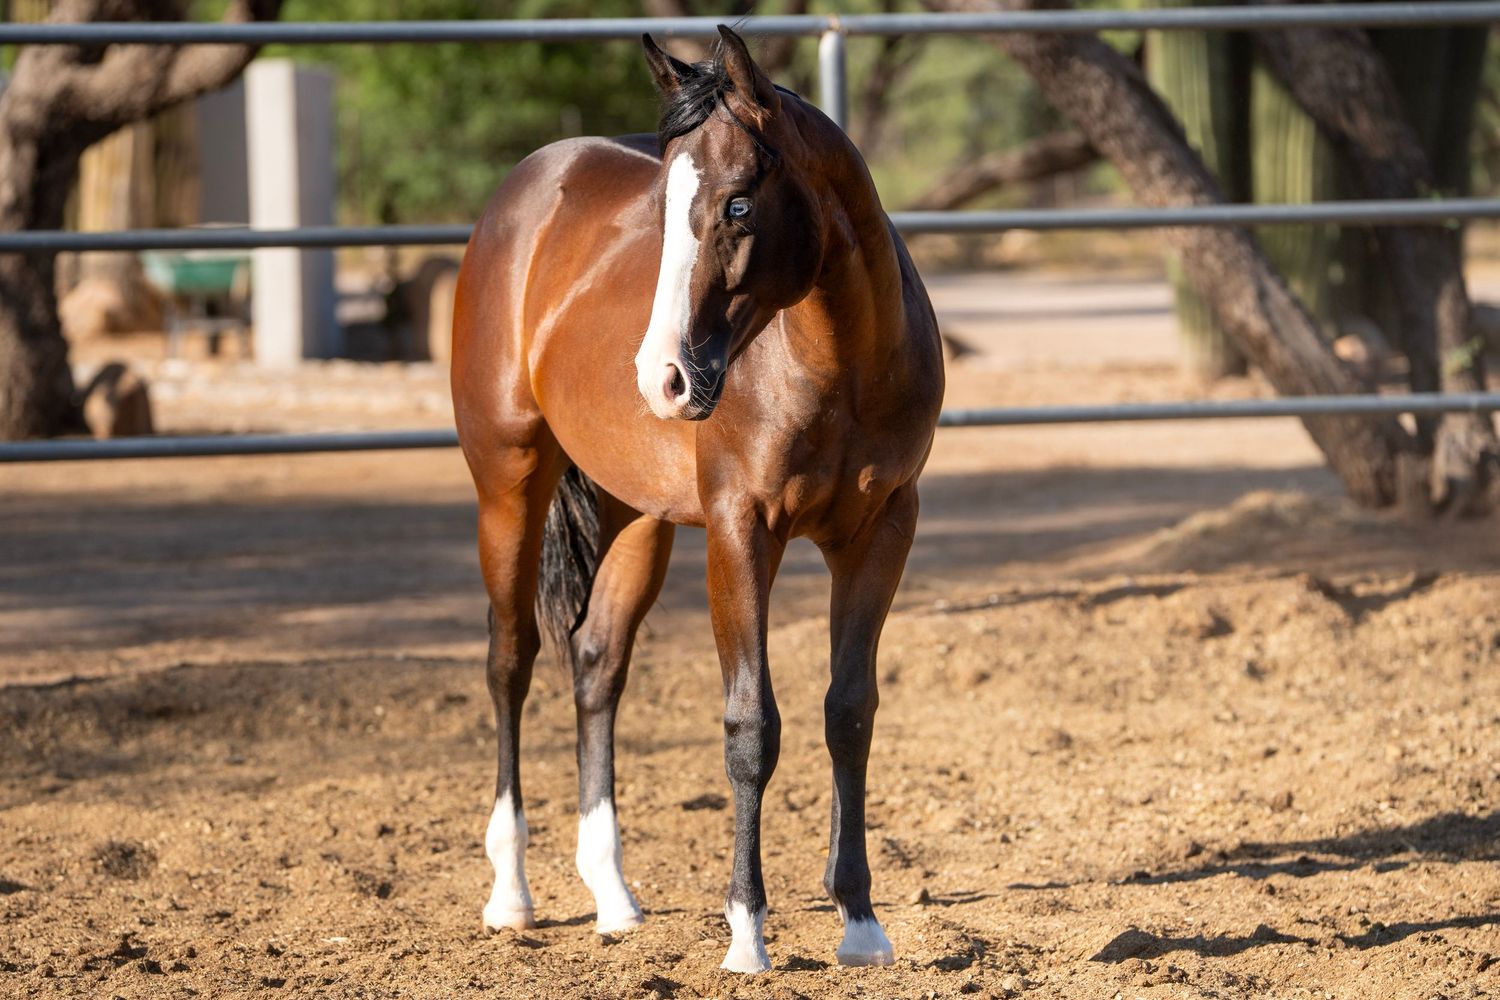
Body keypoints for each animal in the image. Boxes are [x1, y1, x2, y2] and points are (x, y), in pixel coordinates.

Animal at [449, 25, 944, 973]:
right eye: (667, 200)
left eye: (739, 206)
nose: (663, 378)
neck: (838, 366)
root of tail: (525, 191)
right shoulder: (739, 532)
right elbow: (751, 728)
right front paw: (747, 931)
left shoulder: (882, 532)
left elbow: (849, 712)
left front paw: (861, 922)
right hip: (509, 482)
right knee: (510, 659)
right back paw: (511, 893)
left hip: (634, 514)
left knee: (597, 662)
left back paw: (612, 895)